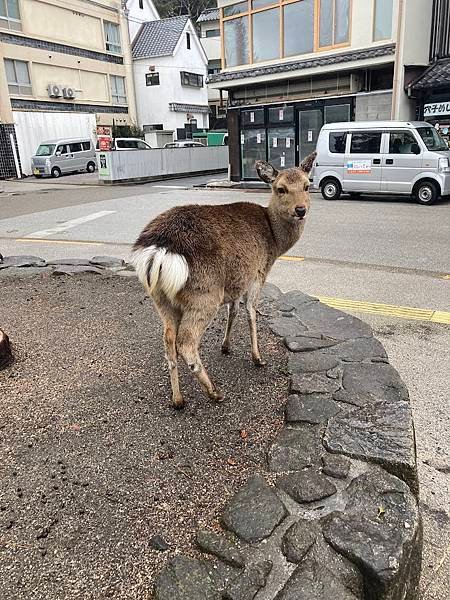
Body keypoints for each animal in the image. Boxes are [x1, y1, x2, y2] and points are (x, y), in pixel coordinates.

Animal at [130, 152, 316, 410]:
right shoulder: (257, 274)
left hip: (160, 298)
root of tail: (159, 249)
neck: (275, 242)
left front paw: (226, 346)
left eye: (307, 185)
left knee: (168, 339)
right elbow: (250, 313)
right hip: (205, 293)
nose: (301, 210)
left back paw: (178, 399)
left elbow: (233, 311)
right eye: (281, 188)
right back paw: (215, 392)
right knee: (185, 341)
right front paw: (258, 358)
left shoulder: (236, 283)